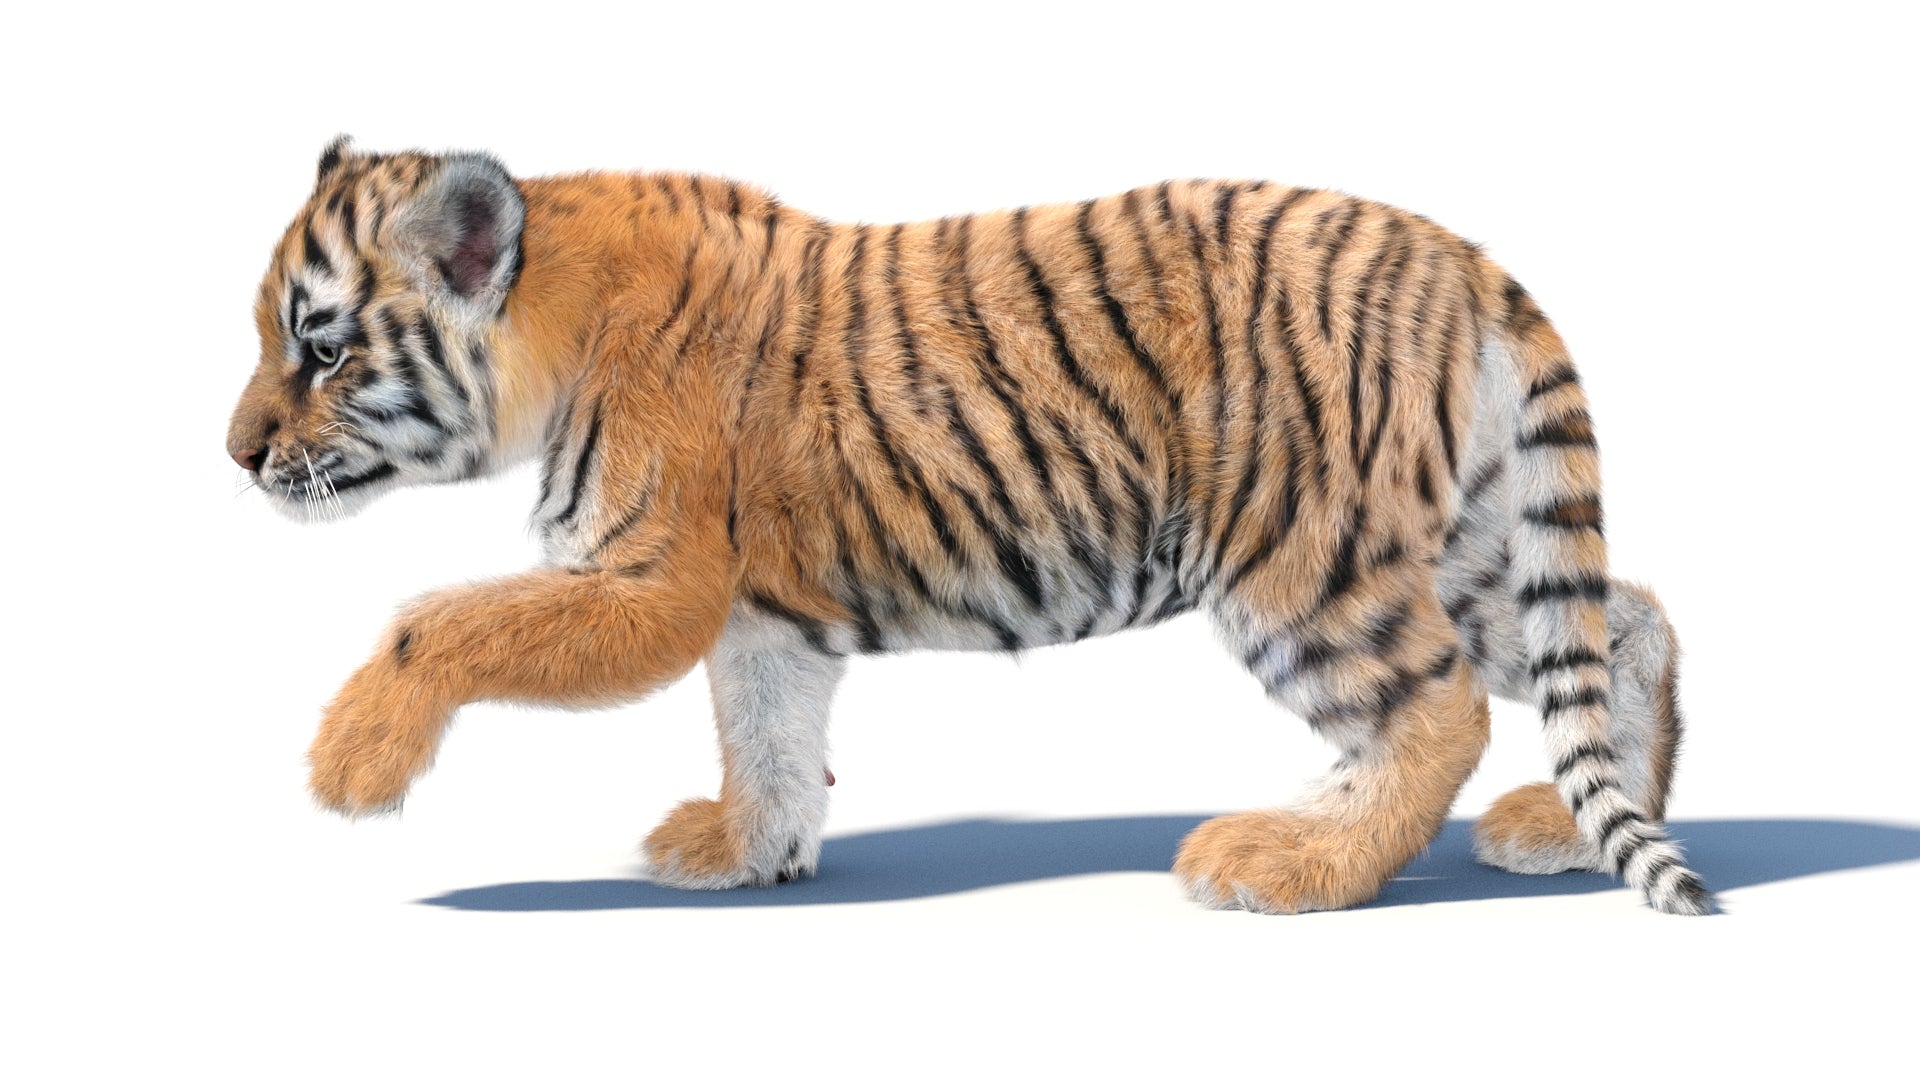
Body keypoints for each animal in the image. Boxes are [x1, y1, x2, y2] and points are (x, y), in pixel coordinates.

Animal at [227, 137, 1710, 915]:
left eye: (322, 348)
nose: (235, 455)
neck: (551, 327)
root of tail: (1461, 260)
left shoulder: (648, 581)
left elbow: (437, 622)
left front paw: (350, 767)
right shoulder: (759, 613)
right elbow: (766, 735)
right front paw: (747, 853)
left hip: (1303, 554)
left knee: (1437, 709)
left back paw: (1286, 862)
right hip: (1454, 541)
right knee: (1625, 621)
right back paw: (1573, 825)